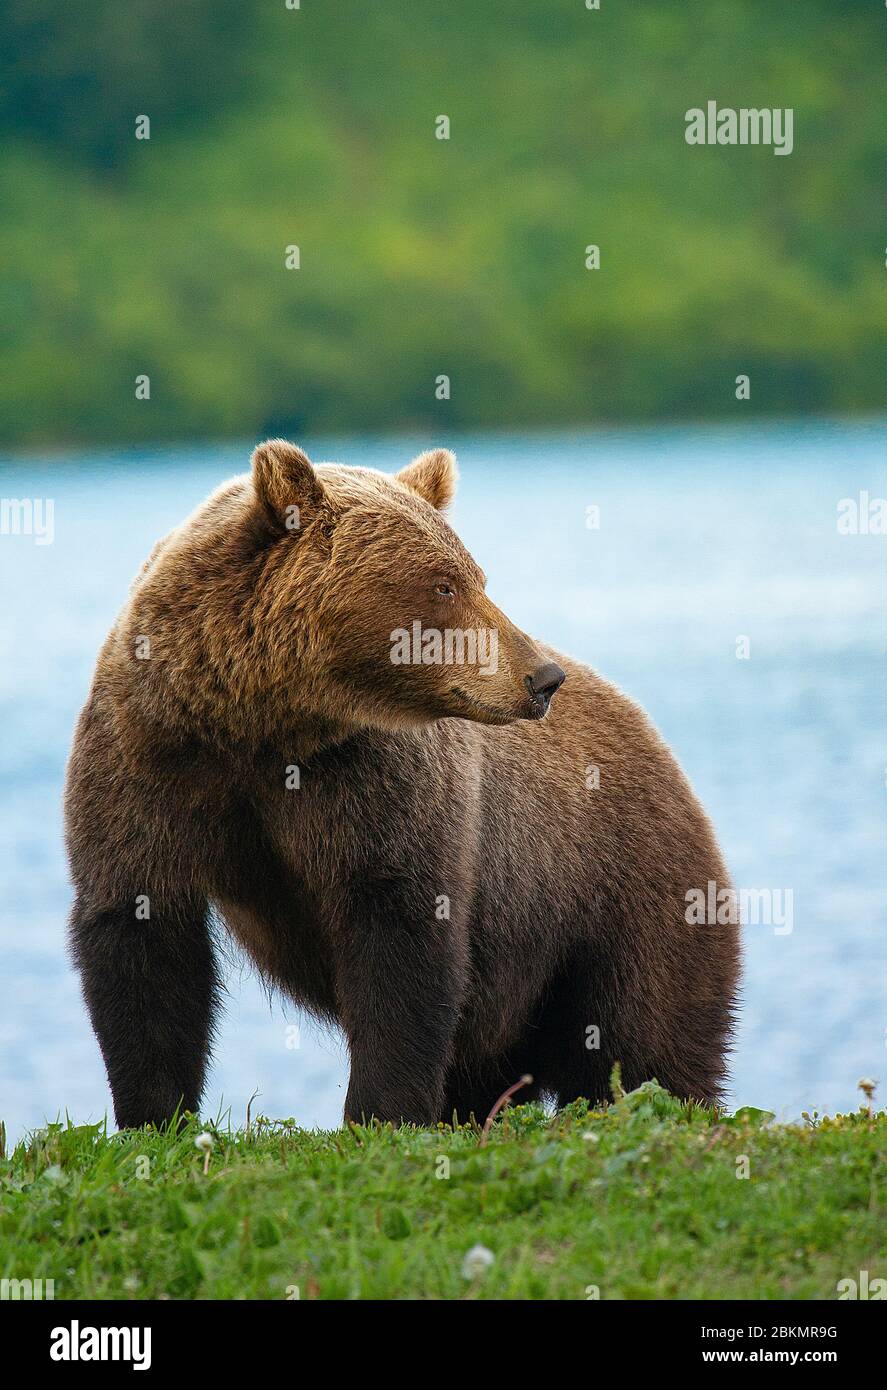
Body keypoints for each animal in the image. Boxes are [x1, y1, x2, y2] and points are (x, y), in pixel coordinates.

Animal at [66, 442, 739, 1128]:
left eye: (476, 576)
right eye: (444, 584)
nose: (544, 677)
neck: (263, 727)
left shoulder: (376, 783)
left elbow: (400, 934)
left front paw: (377, 1111)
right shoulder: (151, 762)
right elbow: (142, 935)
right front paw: (153, 1116)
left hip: (617, 895)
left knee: (642, 1039)